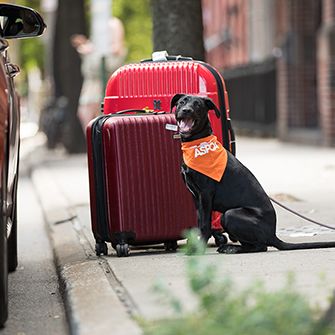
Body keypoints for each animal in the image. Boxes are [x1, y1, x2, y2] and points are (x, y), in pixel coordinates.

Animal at [172, 93, 335, 253]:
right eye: (182, 102)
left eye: (198, 105)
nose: (186, 110)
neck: (196, 144)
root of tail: (272, 235)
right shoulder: (196, 197)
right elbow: (199, 223)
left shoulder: (205, 194)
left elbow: (205, 225)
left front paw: (198, 249)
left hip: (230, 215)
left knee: (261, 246)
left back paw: (232, 248)